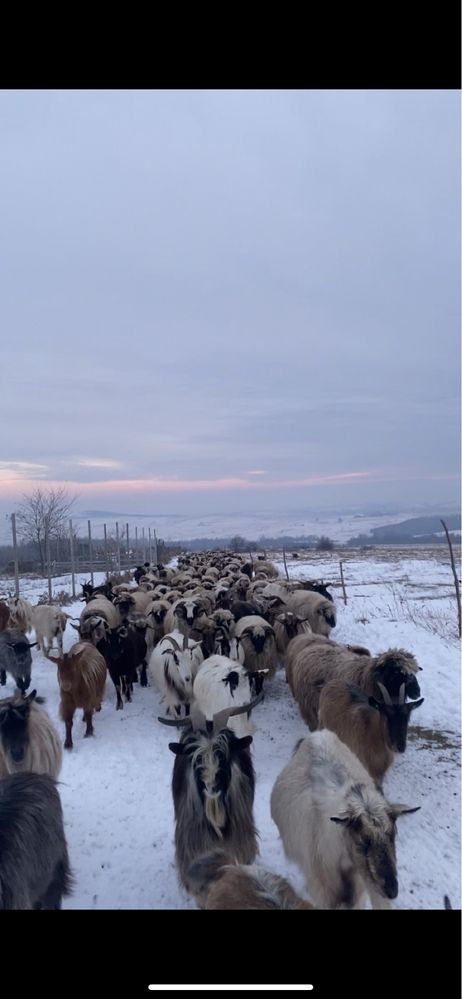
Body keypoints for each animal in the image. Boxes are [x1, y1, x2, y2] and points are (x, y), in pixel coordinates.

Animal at [268, 732, 420, 912]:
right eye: (363, 840)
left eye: (392, 835)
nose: (392, 890)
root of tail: (317, 734)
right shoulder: (325, 893)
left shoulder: (362, 887)